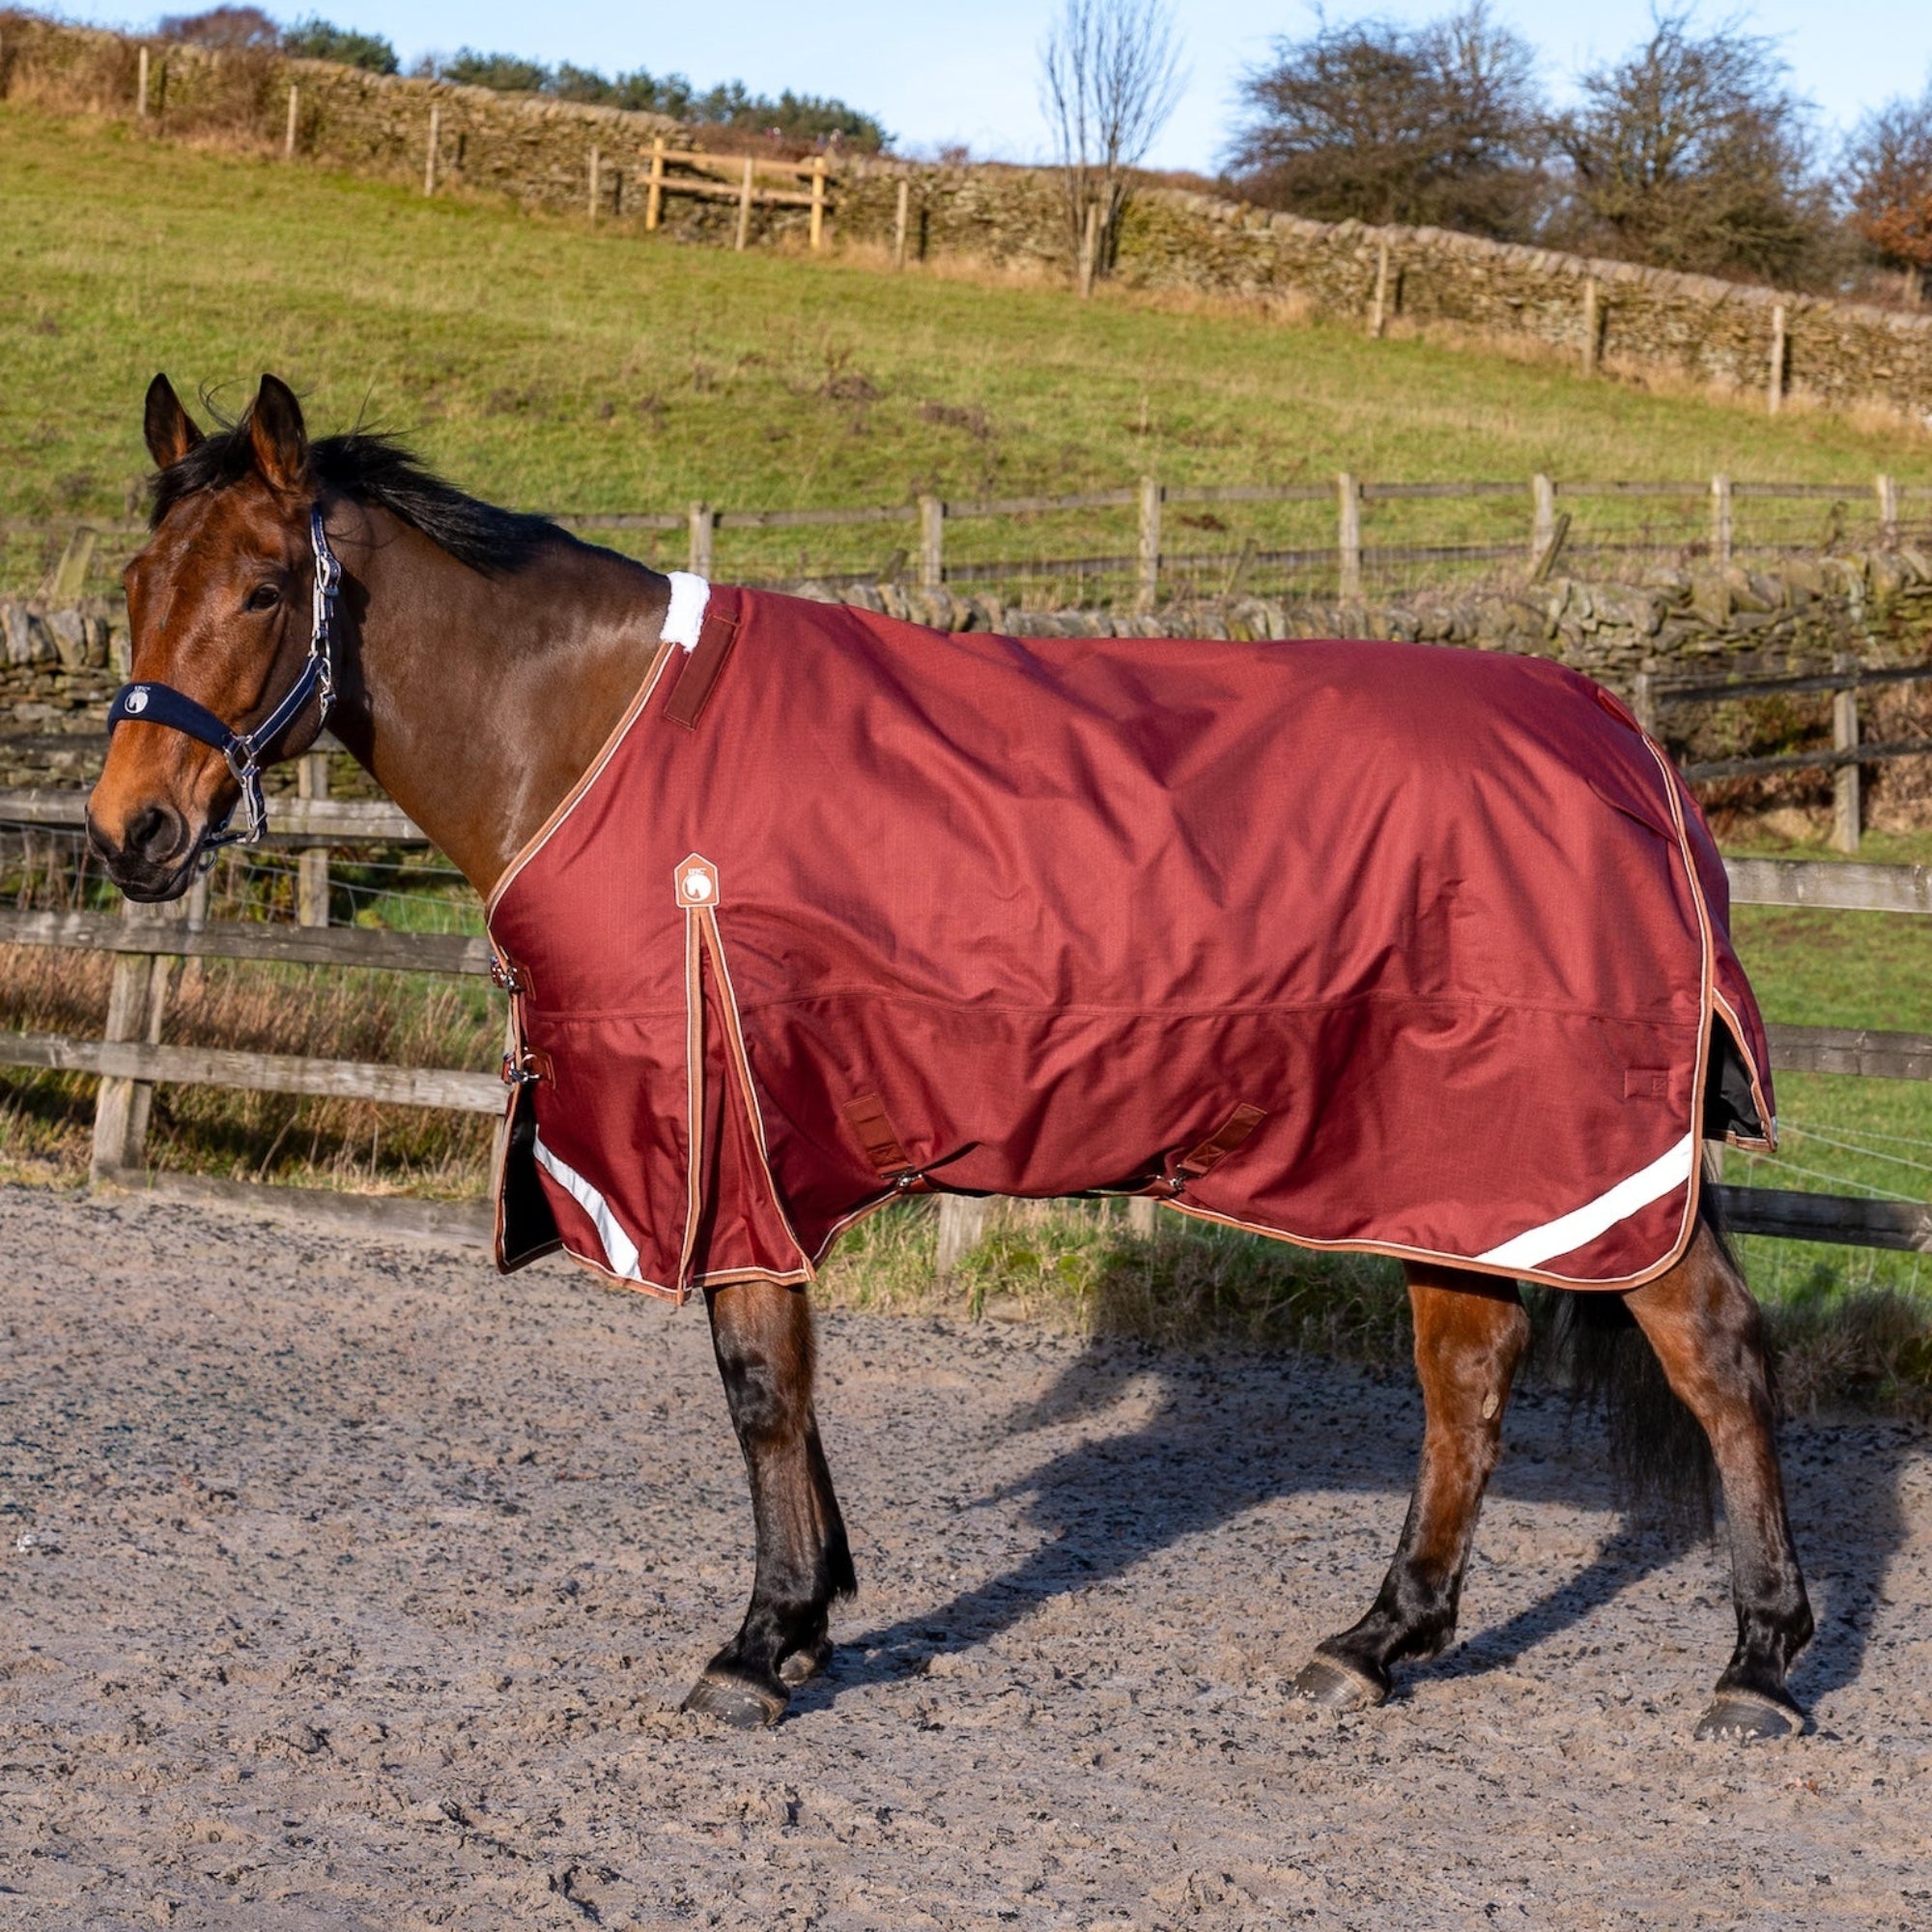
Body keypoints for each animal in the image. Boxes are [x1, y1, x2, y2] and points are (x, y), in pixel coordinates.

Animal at [87, 373, 1813, 1741]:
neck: (596, 733)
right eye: (133, 582)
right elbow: (782, 1389)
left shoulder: (732, 1137)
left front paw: (762, 1642)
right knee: (1468, 1375)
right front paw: (812, 1615)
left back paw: (1758, 1662)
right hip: (1453, 1162)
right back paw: (1383, 1639)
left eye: (263, 589)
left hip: (1573, 1154)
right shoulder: (761, 1142)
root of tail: (1630, 746)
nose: (131, 832)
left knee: (1716, 1359)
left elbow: (760, 1386)